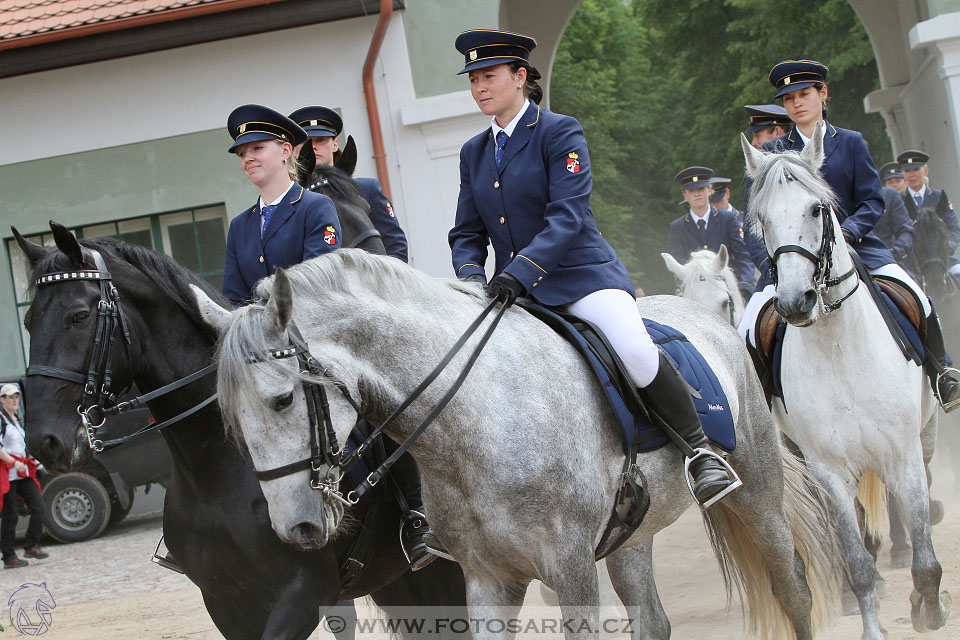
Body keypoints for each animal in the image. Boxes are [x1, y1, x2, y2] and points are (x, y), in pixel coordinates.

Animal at [15, 222, 464, 636]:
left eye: (78, 316)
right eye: (28, 320)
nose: (43, 440)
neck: (215, 470)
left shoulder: (305, 589)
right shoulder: (224, 601)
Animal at [191, 251, 836, 640]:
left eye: (281, 400)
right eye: (231, 422)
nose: (296, 529)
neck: (475, 424)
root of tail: (702, 316)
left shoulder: (570, 569)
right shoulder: (486, 579)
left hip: (757, 491)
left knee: (793, 589)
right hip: (632, 534)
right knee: (653, 620)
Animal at [740, 126, 948, 640]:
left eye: (817, 209)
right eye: (761, 219)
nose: (795, 302)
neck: (839, 347)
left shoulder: (902, 454)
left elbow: (926, 561)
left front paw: (929, 608)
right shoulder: (829, 469)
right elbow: (856, 565)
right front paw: (872, 620)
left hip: (923, 437)